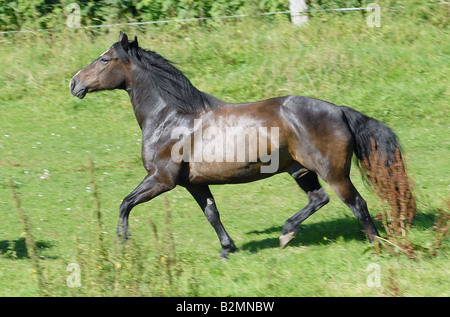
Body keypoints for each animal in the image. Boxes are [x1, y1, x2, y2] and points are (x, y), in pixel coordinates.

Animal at [69, 31, 412, 256]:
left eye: (104, 59)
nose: (74, 83)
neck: (171, 117)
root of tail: (339, 110)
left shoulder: (161, 179)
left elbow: (125, 203)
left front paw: (122, 244)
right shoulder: (194, 183)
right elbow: (212, 213)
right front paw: (227, 248)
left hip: (334, 173)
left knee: (358, 204)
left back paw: (377, 246)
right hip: (300, 170)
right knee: (319, 199)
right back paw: (286, 234)